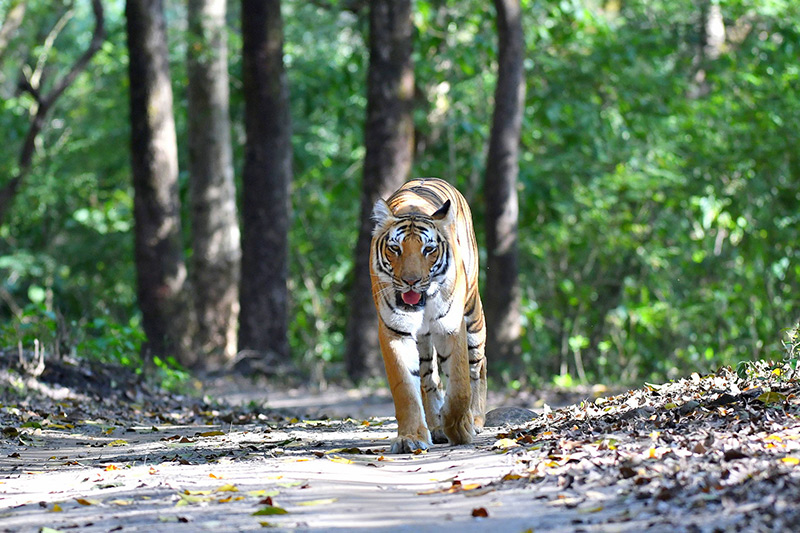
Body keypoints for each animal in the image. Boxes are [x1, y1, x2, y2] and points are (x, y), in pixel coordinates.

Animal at [370, 177, 488, 450]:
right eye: (395, 249)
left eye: (428, 250)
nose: (411, 281)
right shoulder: (395, 331)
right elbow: (405, 388)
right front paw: (411, 437)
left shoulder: (451, 326)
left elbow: (460, 383)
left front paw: (460, 428)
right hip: (423, 343)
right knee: (428, 378)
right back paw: (435, 426)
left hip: (473, 314)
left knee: (477, 366)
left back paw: (475, 419)